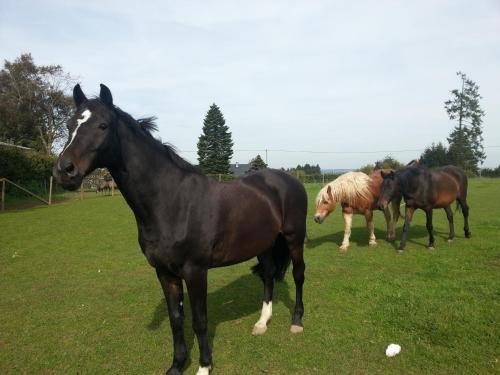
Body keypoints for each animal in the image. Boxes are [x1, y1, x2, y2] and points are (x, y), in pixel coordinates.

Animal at [52, 85, 306, 375]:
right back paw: (262, 323)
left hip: (295, 238)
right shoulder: (165, 272)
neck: (172, 201)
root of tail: (288, 179)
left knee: (298, 274)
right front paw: (177, 365)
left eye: (102, 125)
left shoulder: (195, 272)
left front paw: (204, 366)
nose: (64, 170)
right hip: (263, 244)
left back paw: (297, 322)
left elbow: (199, 321)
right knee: (269, 275)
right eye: (69, 125)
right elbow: (176, 319)